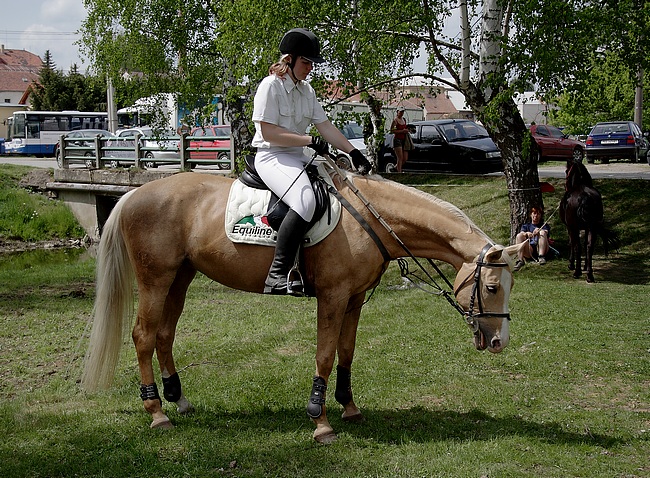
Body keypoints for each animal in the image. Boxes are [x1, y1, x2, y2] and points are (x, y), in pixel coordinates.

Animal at [81, 169, 524, 444]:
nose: (500, 341)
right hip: (156, 279)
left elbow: (347, 351)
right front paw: (320, 420)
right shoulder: (332, 297)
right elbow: (325, 355)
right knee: (143, 335)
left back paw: (179, 399)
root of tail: (133, 193)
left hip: (181, 277)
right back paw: (157, 411)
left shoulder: (354, 299)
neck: (369, 220)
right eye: (491, 286)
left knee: (164, 333)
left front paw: (348, 406)